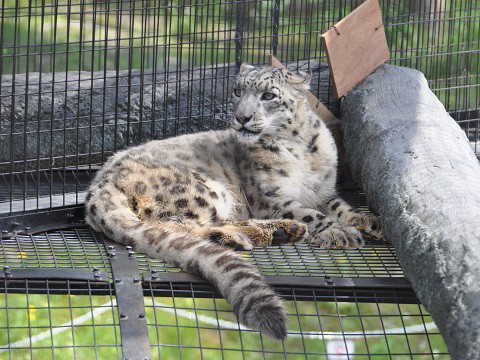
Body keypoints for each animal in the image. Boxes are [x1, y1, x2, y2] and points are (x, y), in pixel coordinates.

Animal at [85, 65, 382, 340]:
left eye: (268, 95)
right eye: (238, 91)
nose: (241, 117)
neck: (300, 150)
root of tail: (99, 183)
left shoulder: (323, 191)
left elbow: (339, 207)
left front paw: (368, 222)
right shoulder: (270, 198)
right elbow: (310, 214)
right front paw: (339, 232)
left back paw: (280, 231)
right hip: (205, 190)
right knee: (177, 225)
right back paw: (243, 237)